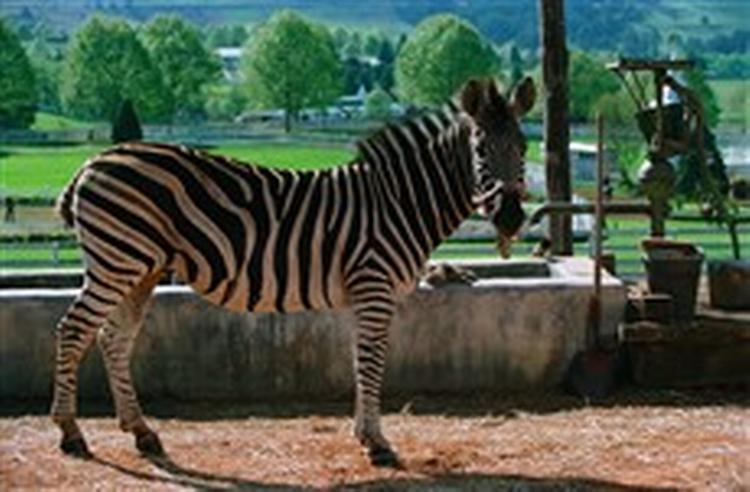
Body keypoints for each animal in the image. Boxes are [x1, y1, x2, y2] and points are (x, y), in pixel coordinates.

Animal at [51, 77, 535, 467]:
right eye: (479, 149)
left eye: (524, 147)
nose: (512, 218)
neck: (400, 203)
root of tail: (93, 162)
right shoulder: (374, 286)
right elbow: (372, 360)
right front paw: (377, 443)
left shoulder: (364, 294)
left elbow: (360, 360)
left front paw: (364, 435)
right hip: (117, 262)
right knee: (73, 330)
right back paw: (71, 433)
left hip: (140, 271)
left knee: (113, 338)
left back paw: (142, 433)